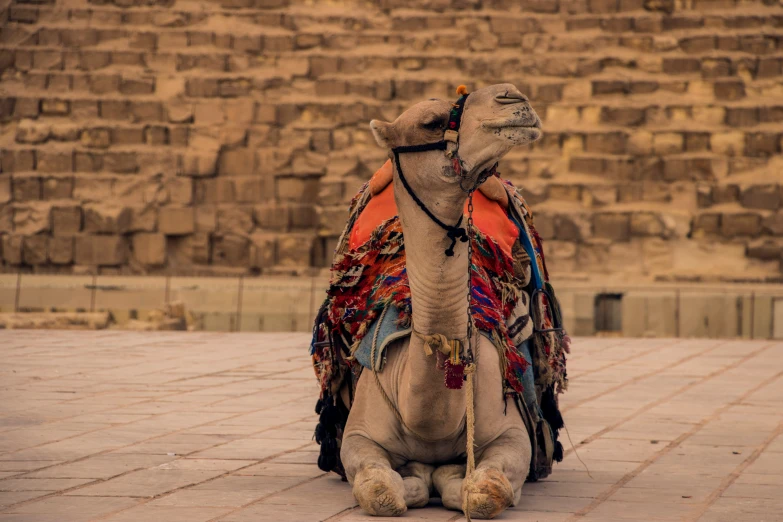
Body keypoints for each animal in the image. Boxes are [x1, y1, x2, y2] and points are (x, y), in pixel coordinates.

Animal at [344, 82, 544, 516]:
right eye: (432, 122)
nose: (513, 96)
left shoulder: (512, 433)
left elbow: (486, 492)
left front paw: (449, 478)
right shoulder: (357, 435)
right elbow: (380, 491)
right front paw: (415, 480)